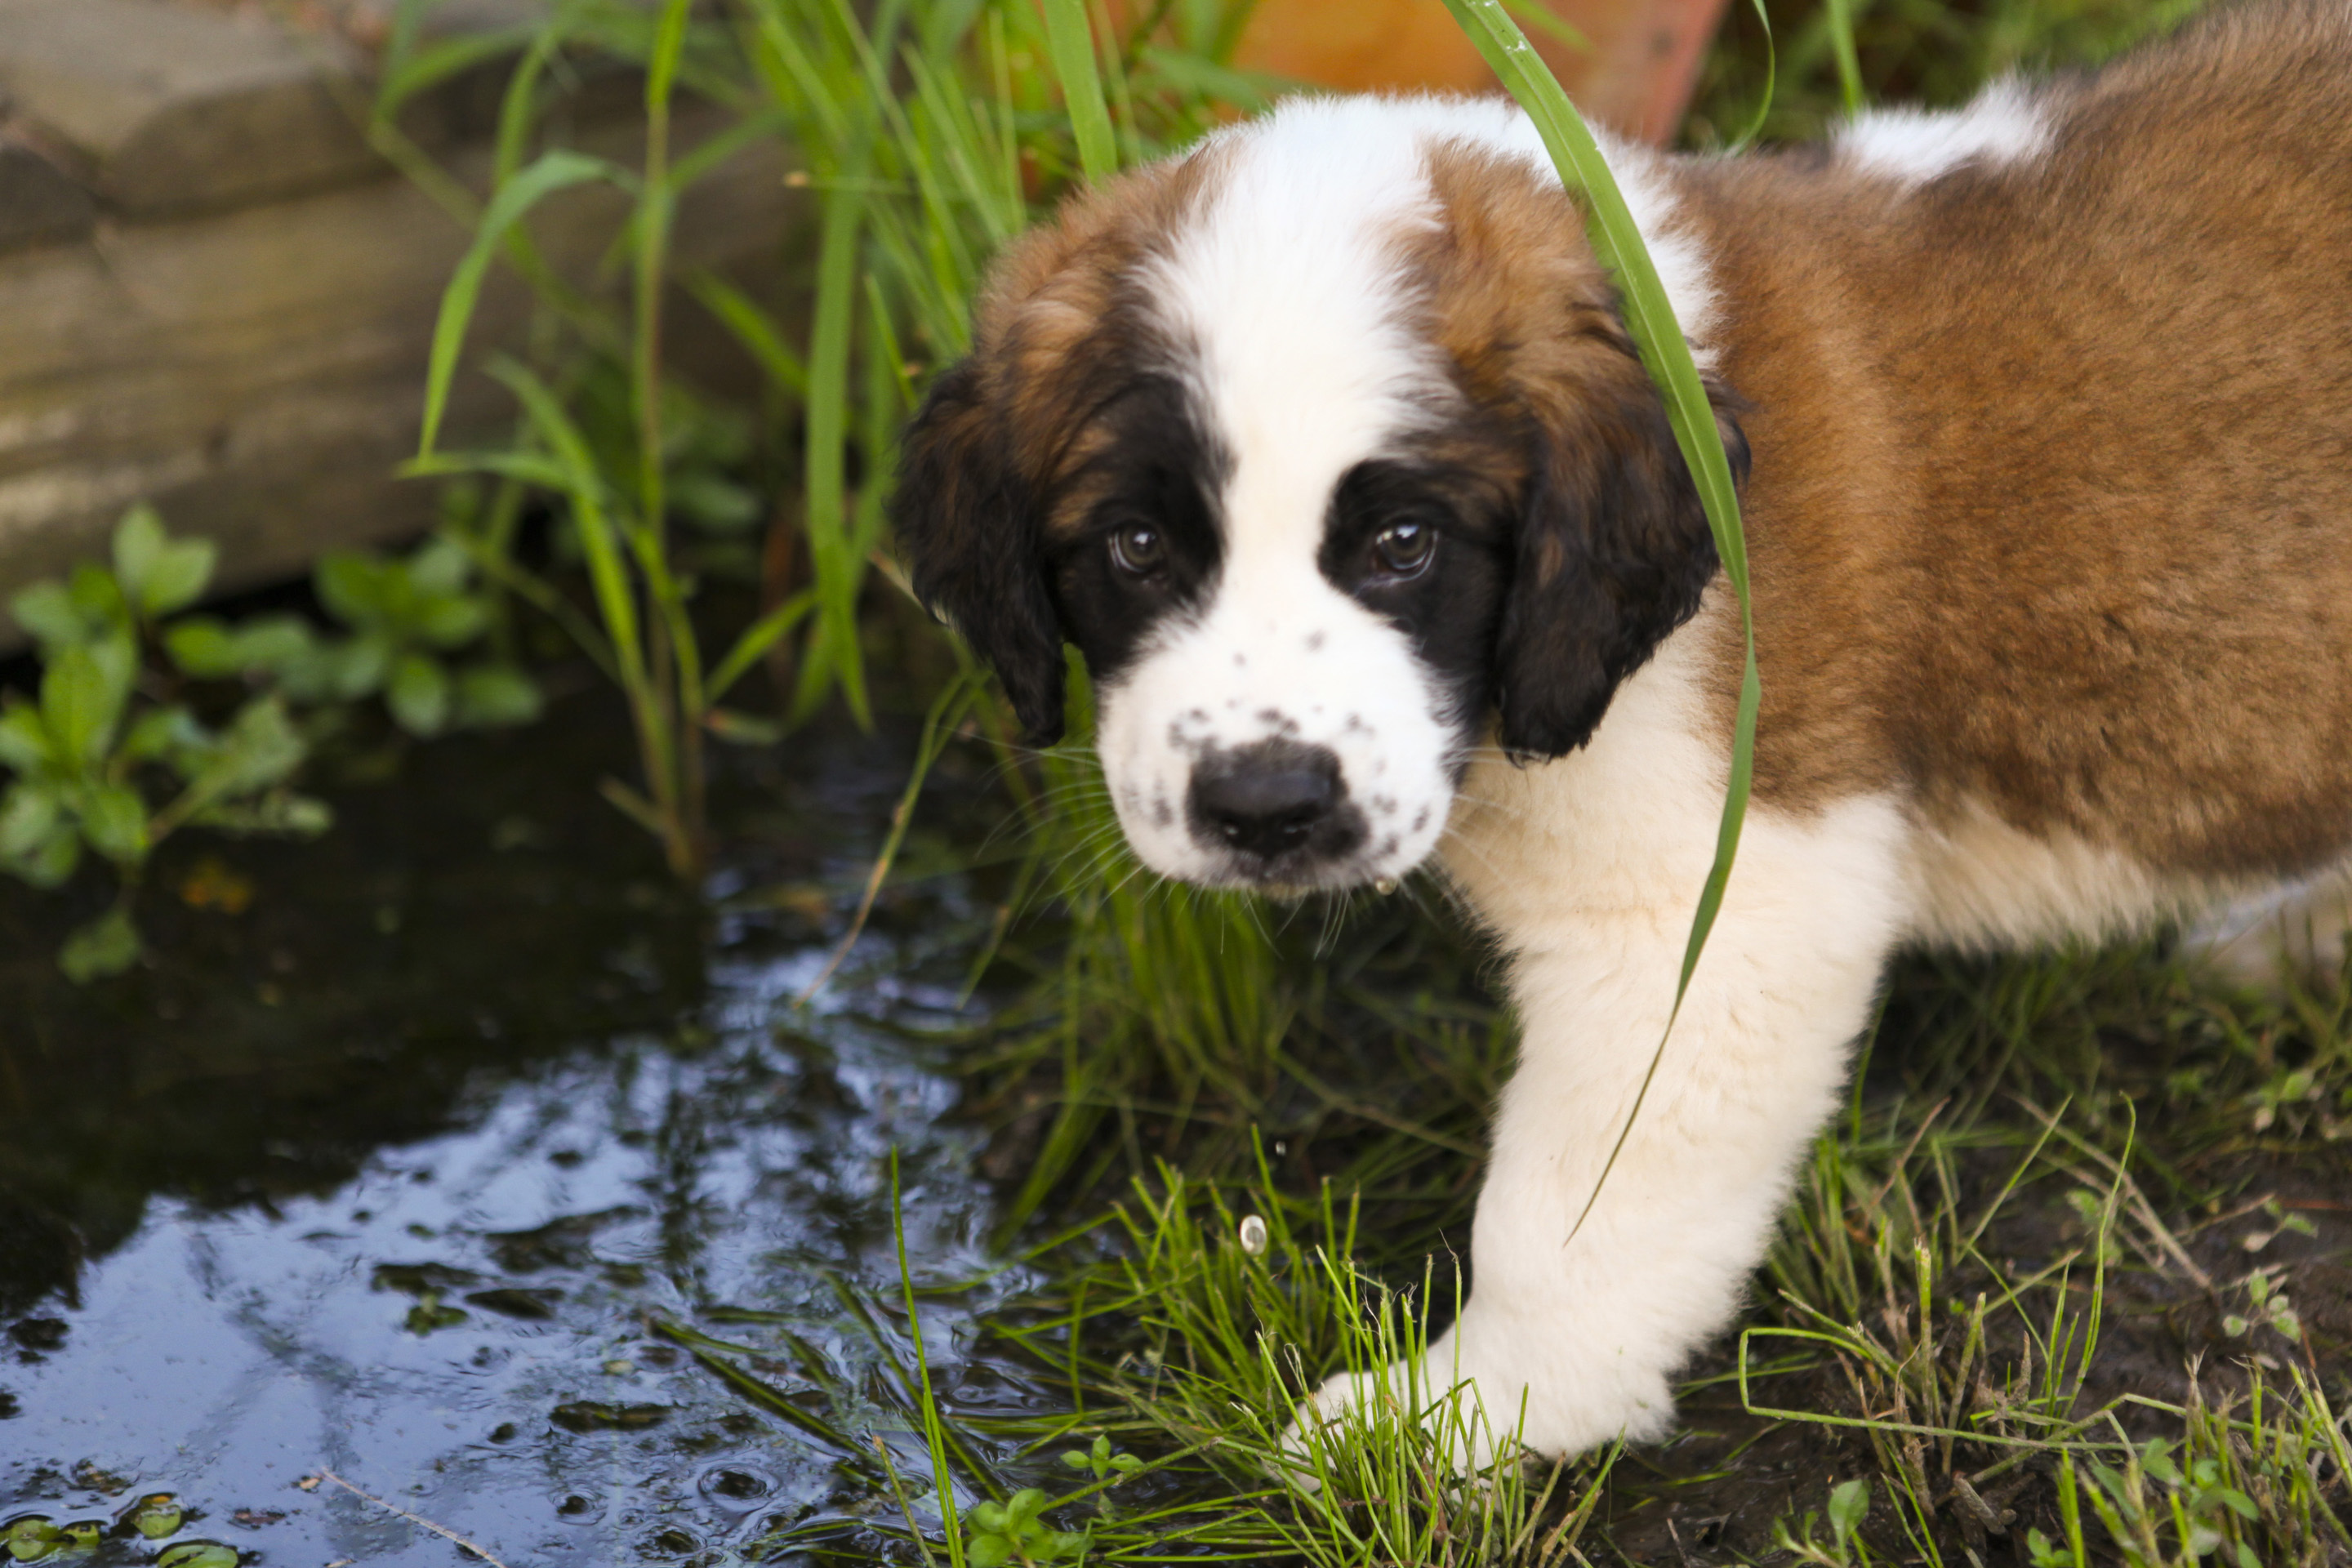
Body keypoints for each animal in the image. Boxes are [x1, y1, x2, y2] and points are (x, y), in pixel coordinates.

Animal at [889, 0, 2352, 1476]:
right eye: (1135, 549)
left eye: (1404, 544)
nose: (1264, 805)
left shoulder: (1719, 912)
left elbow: (1565, 1217)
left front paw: (1469, 1413)